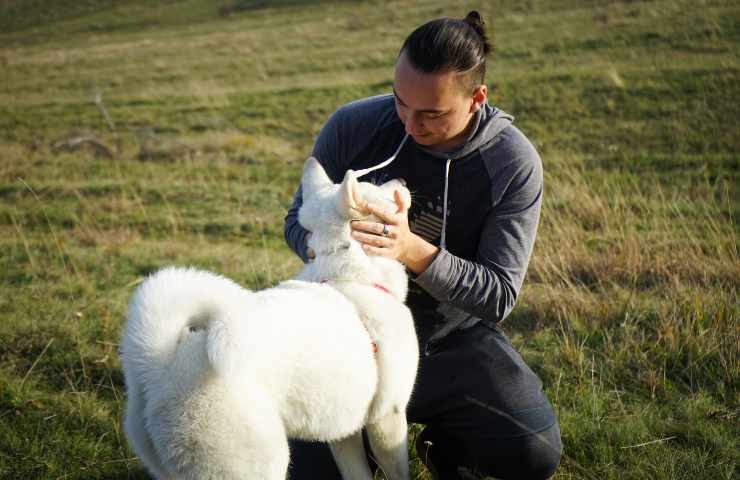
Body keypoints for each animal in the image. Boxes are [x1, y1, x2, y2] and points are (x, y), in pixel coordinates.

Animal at [124, 156, 420, 478]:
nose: (404, 180)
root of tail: (160, 365)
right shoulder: (388, 417)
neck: (350, 276)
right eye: (375, 188)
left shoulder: (343, 430)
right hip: (260, 463)